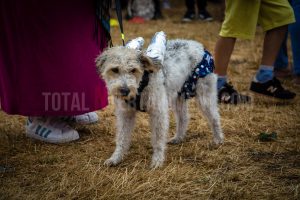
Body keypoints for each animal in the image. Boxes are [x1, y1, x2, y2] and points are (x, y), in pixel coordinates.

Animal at [96, 35, 223, 167]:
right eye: (114, 69)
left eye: (133, 70)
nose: (125, 90)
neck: (141, 84)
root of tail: (200, 46)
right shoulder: (126, 114)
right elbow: (121, 138)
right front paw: (115, 158)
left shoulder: (158, 113)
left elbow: (158, 139)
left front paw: (157, 160)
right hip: (179, 97)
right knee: (183, 118)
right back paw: (178, 138)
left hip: (205, 96)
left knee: (215, 118)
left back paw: (218, 139)